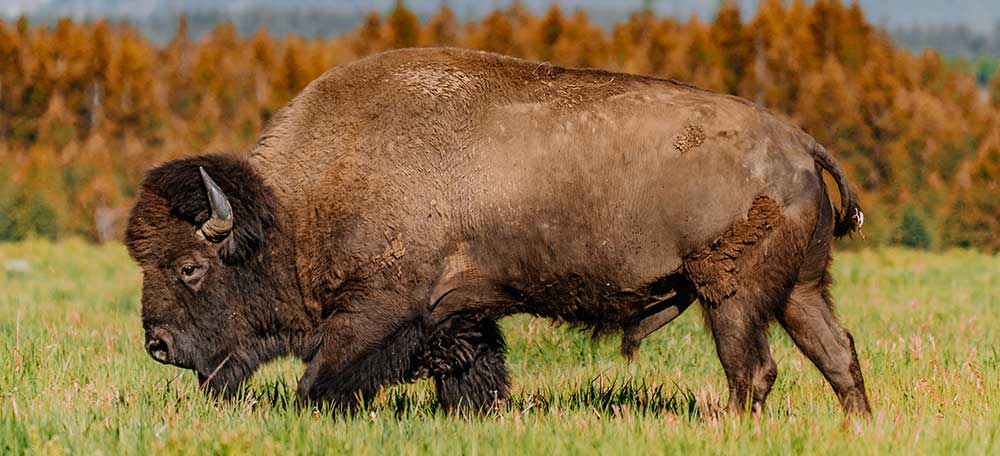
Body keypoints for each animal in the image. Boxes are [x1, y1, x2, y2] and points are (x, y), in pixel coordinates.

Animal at [126, 48, 871, 416]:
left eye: (190, 268)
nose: (157, 345)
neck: (297, 205)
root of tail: (797, 141)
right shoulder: (462, 314)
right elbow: (472, 374)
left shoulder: (377, 312)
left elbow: (321, 379)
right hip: (801, 290)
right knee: (836, 354)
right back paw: (856, 424)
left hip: (732, 297)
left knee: (754, 369)